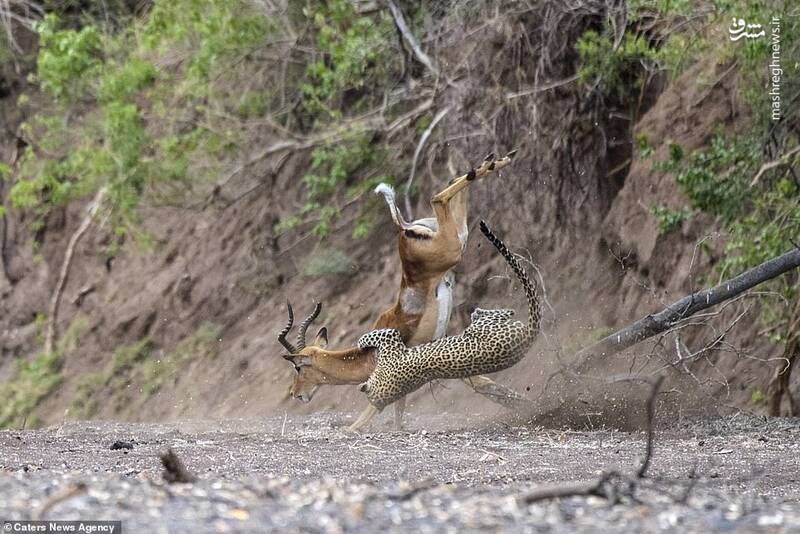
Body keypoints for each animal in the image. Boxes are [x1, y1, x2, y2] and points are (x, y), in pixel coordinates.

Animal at [354, 219, 540, 422]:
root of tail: (527, 337)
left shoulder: (391, 340)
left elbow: (372, 335)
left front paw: (361, 342)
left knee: (503, 312)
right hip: (487, 326)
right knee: (503, 313)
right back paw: (479, 312)